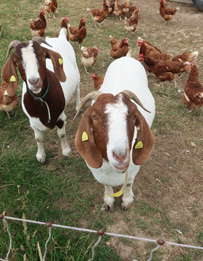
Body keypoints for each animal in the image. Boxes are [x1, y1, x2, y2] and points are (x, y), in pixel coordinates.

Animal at [2, 29, 80, 162]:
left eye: (43, 56)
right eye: (17, 61)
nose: (34, 81)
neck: (42, 102)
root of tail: (60, 36)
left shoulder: (60, 117)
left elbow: (62, 134)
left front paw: (66, 152)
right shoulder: (33, 123)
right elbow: (38, 139)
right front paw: (41, 156)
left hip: (76, 70)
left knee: (78, 88)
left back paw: (78, 107)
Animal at [74, 56, 155, 209]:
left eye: (134, 115)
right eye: (95, 116)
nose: (120, 156)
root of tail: (127, 57)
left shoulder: (133, 170)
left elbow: (129, 184)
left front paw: (127, 200)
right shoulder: (99, 173)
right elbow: (106, 185)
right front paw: (108, 201)